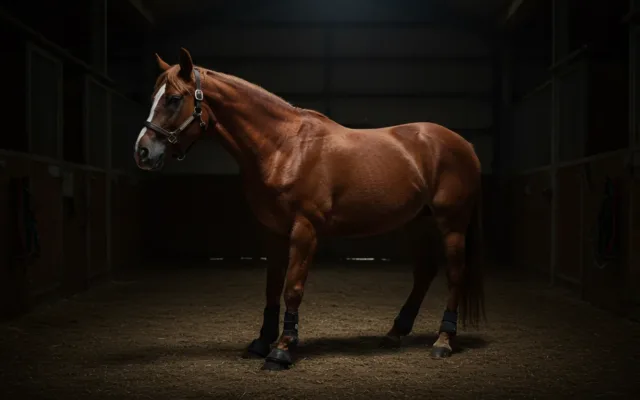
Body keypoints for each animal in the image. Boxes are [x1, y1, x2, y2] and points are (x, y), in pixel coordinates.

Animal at [133, 48, 485, 371]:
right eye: (154, 97)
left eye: (173, 99)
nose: (142, 152)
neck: (284, 147)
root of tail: (463, 145)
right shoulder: (274, 233)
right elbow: (272, 288)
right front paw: (262, 342)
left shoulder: (305, 231)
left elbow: (292, 288)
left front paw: (282, 350)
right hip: (417, 222)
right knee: (424, 273)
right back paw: (395, 334)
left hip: (451, 224)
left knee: (455, 273)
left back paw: (443, 341)